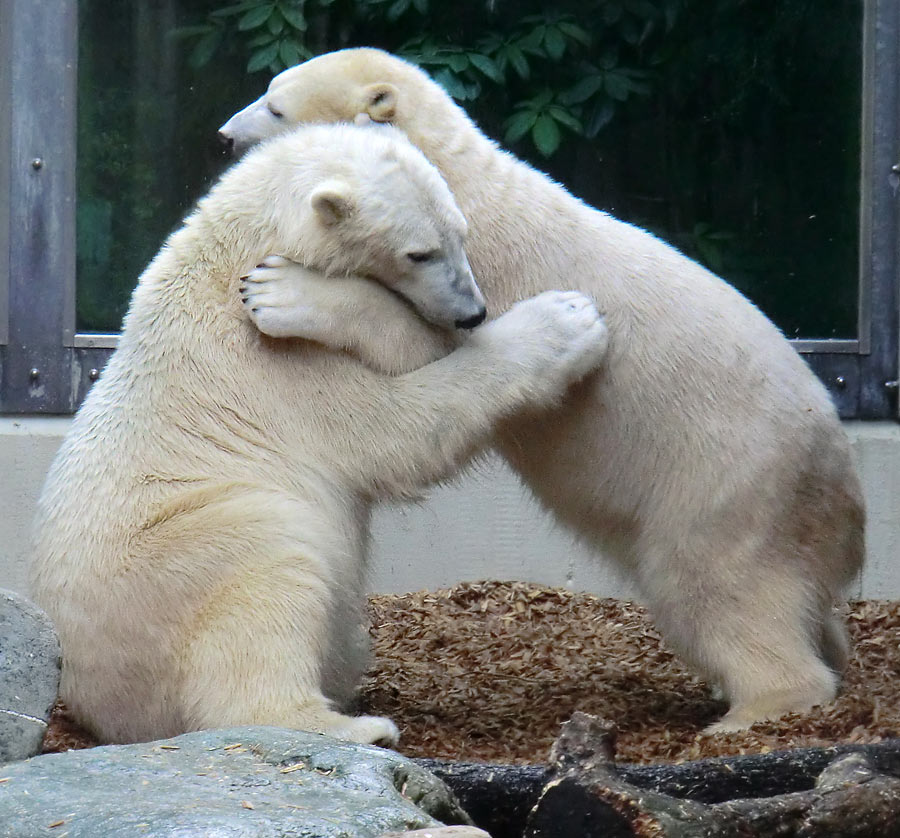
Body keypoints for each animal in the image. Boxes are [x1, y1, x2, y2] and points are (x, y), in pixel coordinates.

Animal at [28, 121, 608, 744]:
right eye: (419, 252)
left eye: (461, 234)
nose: (472, 312)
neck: (229, 258)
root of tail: (88, 696)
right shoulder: (275, 369)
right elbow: (398, 431)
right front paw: (567, 322)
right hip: (176, 557)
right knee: (271, 565)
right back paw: (356, 727)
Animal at [216, 47, 864, 736]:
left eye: (275, 106)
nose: (224, 137)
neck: (458, 177)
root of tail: (844, 497)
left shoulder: (485, 268)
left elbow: (432, 345)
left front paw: (285, 292)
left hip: (728, 484)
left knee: (716, 587)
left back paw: (750, 712)